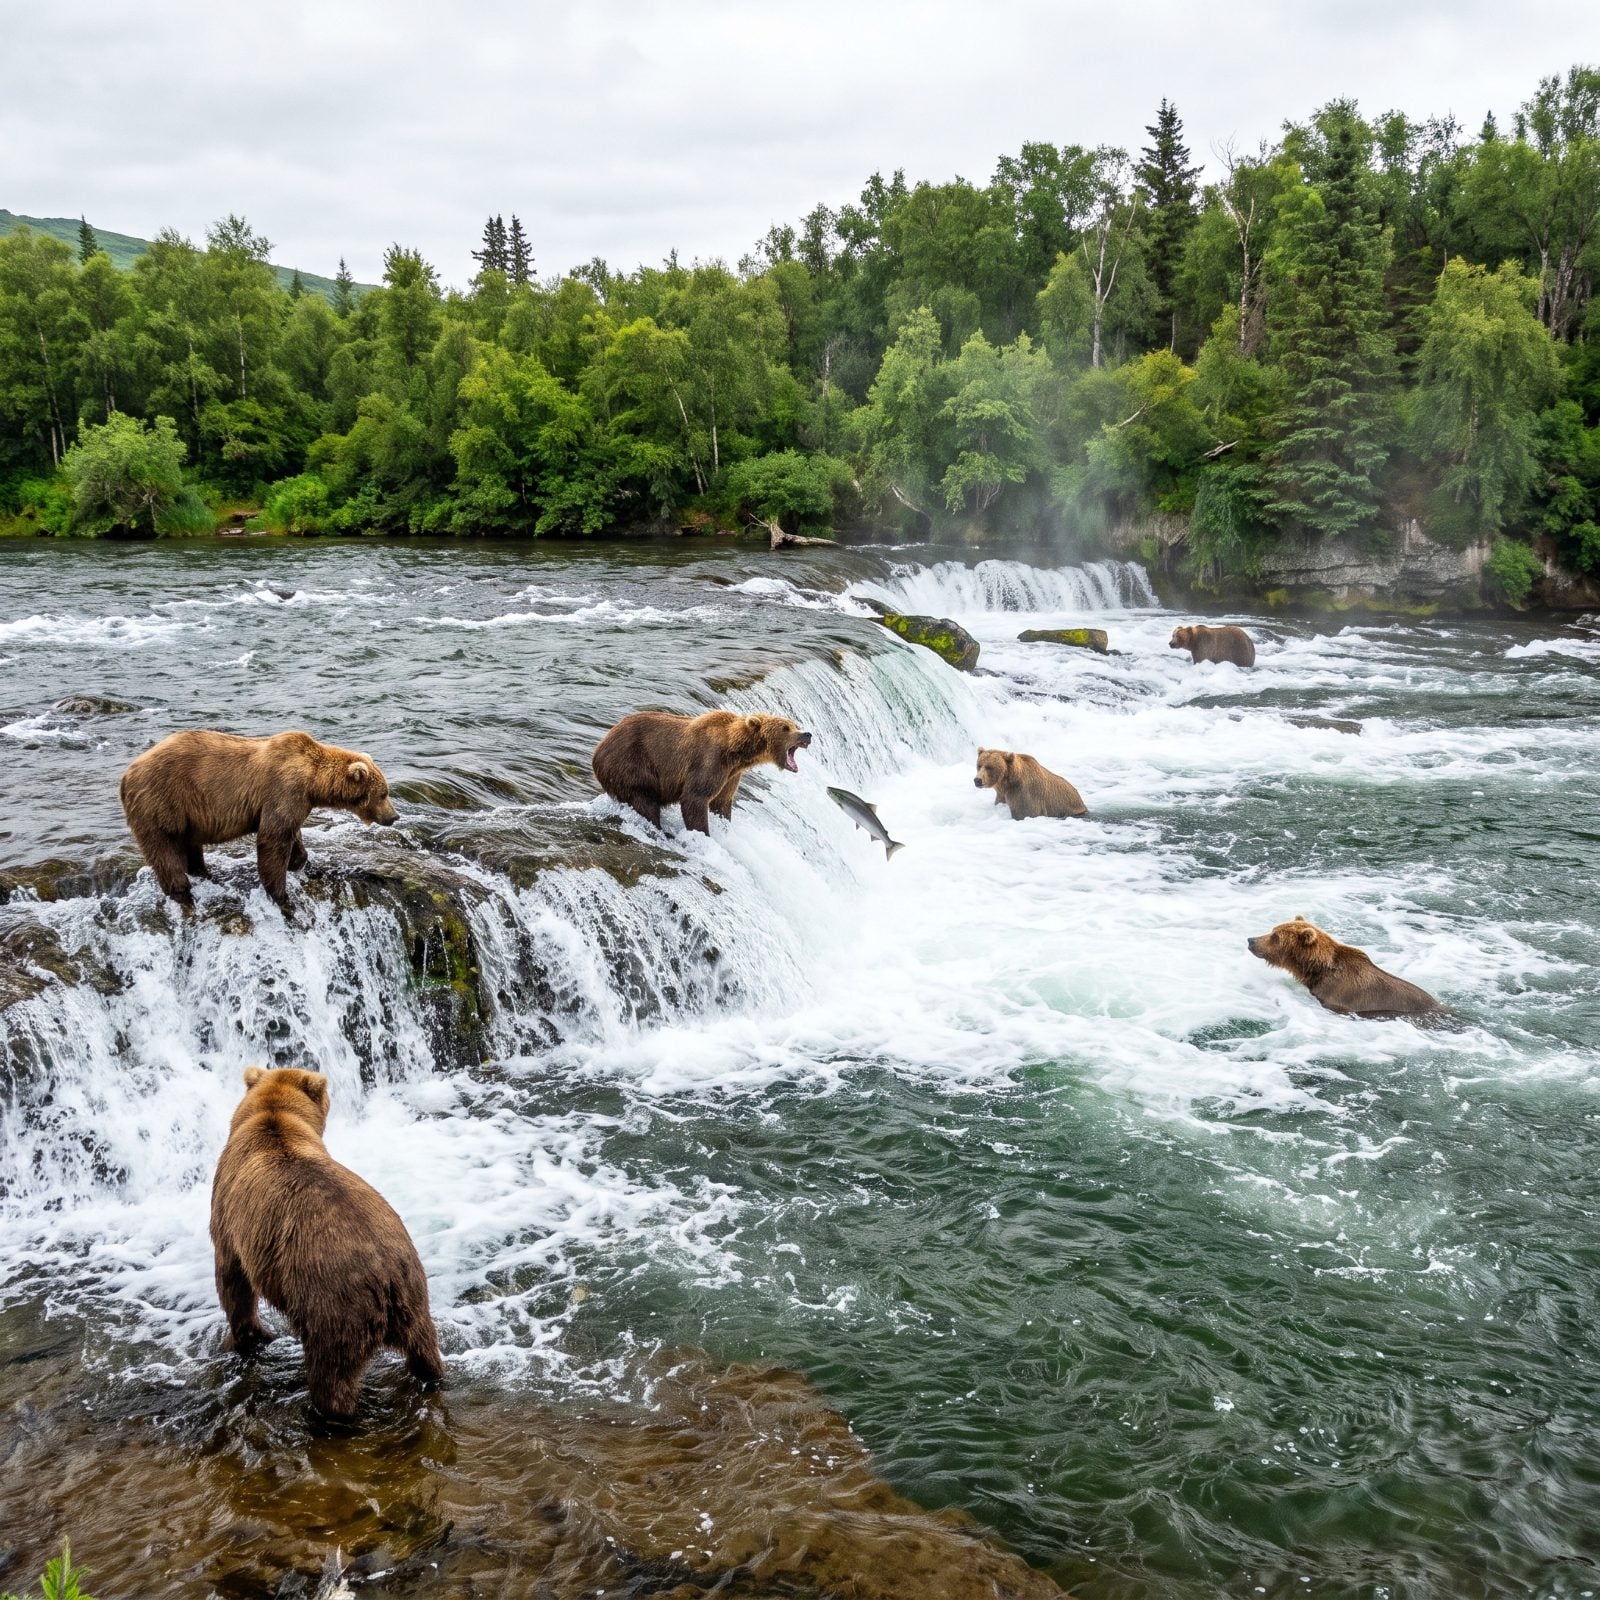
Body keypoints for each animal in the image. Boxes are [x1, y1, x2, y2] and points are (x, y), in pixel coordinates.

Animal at [119, 729, 398, 911]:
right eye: (383, 793)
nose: (394, 816)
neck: (313, 781)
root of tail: (126, 775)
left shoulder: (295, 802)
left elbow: (291, 833)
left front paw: (297, 861)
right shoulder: (283, 789)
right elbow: (273, 838)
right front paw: (281, 894)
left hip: (185, 813)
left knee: (189, 846)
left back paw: (204, 874)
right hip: (162, 800)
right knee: (164, 848)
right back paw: (183, 892)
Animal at [210, 1066, 444, 1420]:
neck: (275, 1119)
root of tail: (386, 1278)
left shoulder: (228, 1211)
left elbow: (233, 1279)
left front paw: (247, 1337)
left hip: (331, 1305)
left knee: (331, 1377)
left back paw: (325, 1412)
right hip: (414, 1296)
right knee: (426, 1351)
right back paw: (433, 1377)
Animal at [592, 710, 812, 835]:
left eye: (794, 724)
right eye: (785, 727)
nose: (807, 734)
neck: (737, 752)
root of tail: (599, 747)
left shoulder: (731, 775)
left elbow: (722, 802)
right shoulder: (709, 761)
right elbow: (695, 797)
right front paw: (704, 834)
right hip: (631, 763)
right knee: (644, 798)